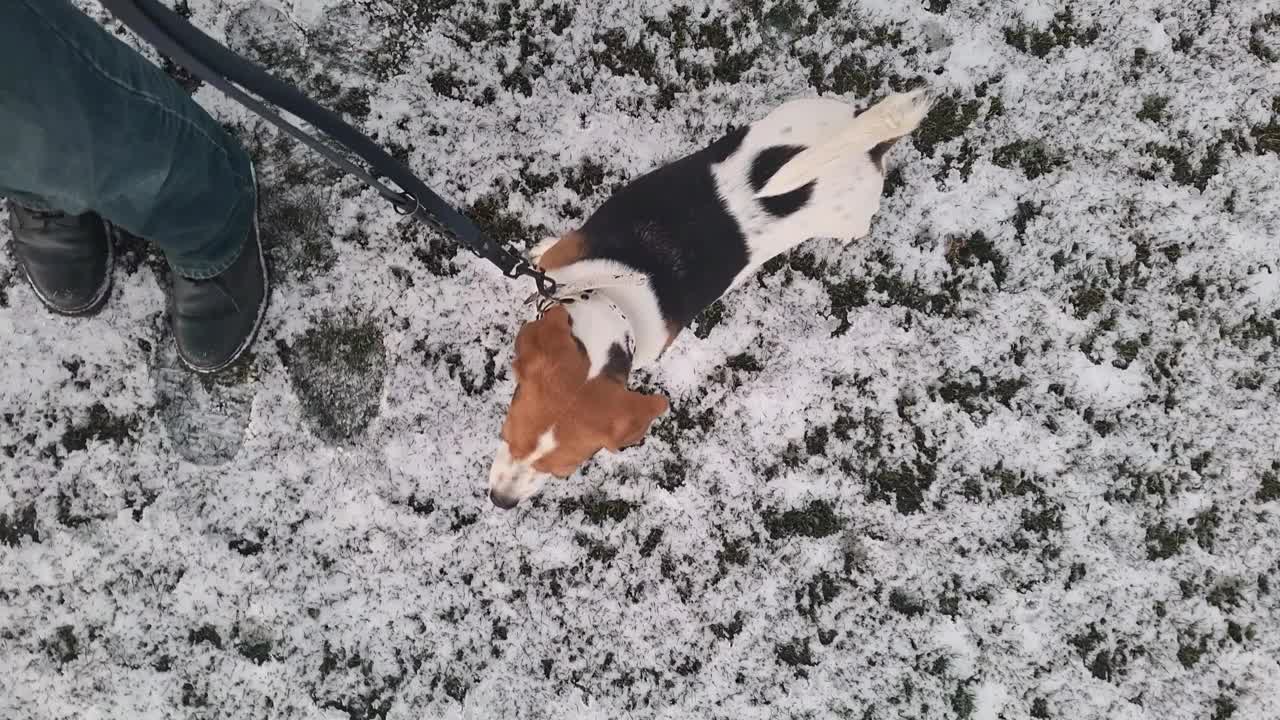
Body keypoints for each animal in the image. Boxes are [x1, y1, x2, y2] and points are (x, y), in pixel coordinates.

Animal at [483, 88, 936, 504]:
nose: (501, 502)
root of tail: (868, 140)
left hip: (851, 214)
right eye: (507, 435)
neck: (612, 295)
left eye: (561, 472)